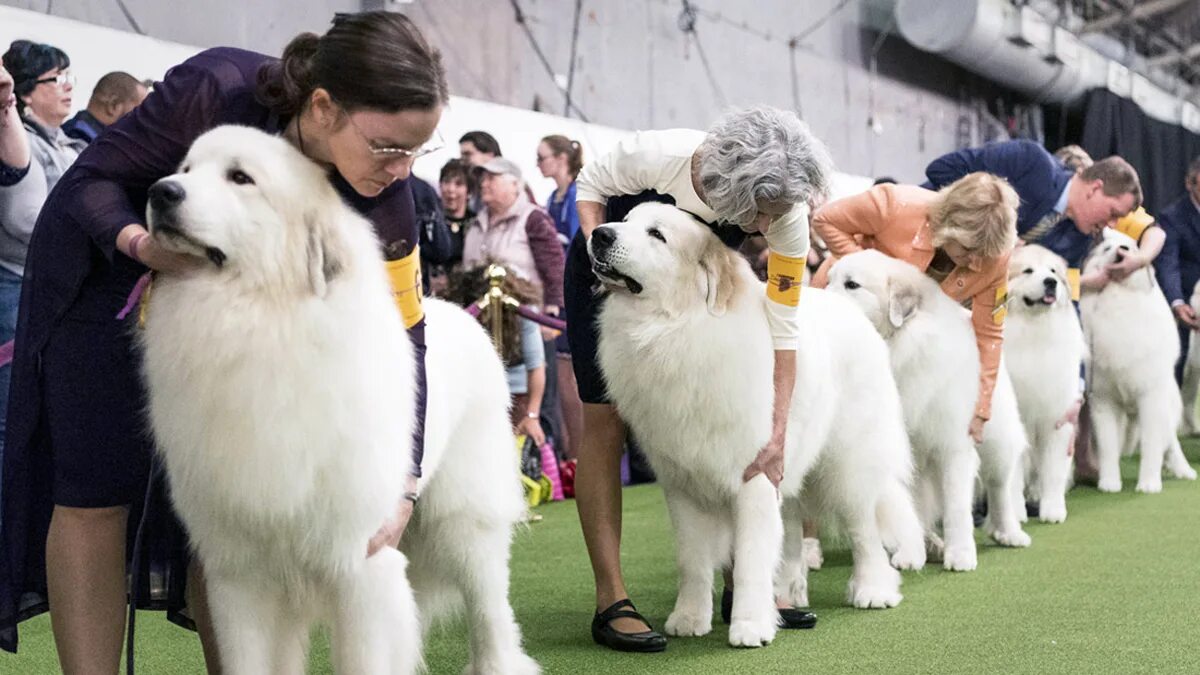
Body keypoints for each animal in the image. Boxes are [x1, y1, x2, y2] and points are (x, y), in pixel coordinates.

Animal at [140, 126, 535, 672]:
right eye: (185, 169)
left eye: (240, 178)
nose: (161, 192)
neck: (258, 324)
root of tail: (464, 311)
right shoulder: (238, 574)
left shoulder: (359, 563)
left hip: (465, 523)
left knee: (490, 614)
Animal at [588, 201, 916, 643]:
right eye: (624, 221)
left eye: (656, 234)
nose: (599, 234)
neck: (678, 329)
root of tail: (853, 314)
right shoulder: (683, 486)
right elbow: (692, 561)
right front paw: (689, 618)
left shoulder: (755, 475)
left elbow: (749, 560)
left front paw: (749, 627)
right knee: (792, 535)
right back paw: (791, 597)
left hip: (848, 467)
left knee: (865, 532)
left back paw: (872, 590)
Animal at [825, 247, 1032, 566]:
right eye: (829, 279)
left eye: (852, 285)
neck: (898, 345)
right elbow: (911, 508)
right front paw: (912, 553)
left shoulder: (953, 445)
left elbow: (957, 507)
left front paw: (960, 554)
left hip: (996, 438)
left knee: (999, 486)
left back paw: (1008, 532)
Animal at [1003, 243, 1089, 523]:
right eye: (1028, 271)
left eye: (1052, 272)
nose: (1050, 283)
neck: (1035, 331)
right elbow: (1013, 477)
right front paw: (1016, 512)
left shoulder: (1057, 419)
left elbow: (1052, 470)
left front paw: (1052, 510)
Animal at [1084, 229, 1195, 487]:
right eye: (1107, 249)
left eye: (1129, 247)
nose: (1121, 251)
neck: (1117, 295)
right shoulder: (1102, 400)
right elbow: (1108, 448)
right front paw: (1109, 484)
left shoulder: (1150, 397)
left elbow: (1151, 446)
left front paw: (1149, 485)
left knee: (1170, 442)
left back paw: (1183, 471)